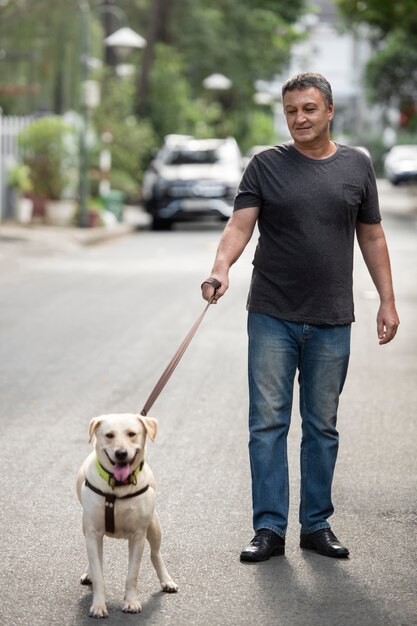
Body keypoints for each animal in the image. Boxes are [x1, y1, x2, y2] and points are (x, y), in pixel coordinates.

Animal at [76, 412, 177, 616]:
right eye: (109, 435)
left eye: (131, 434)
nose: (121, 453)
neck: (117, 485)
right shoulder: (93, 532)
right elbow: (98, 573)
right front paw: (98, 605)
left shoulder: (138, 535)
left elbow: (133, 574)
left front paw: (131, 602)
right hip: (87, 529)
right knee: (94, 556)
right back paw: (89, 572)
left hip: (154, 525)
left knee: (155, 554)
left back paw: (166, 580)